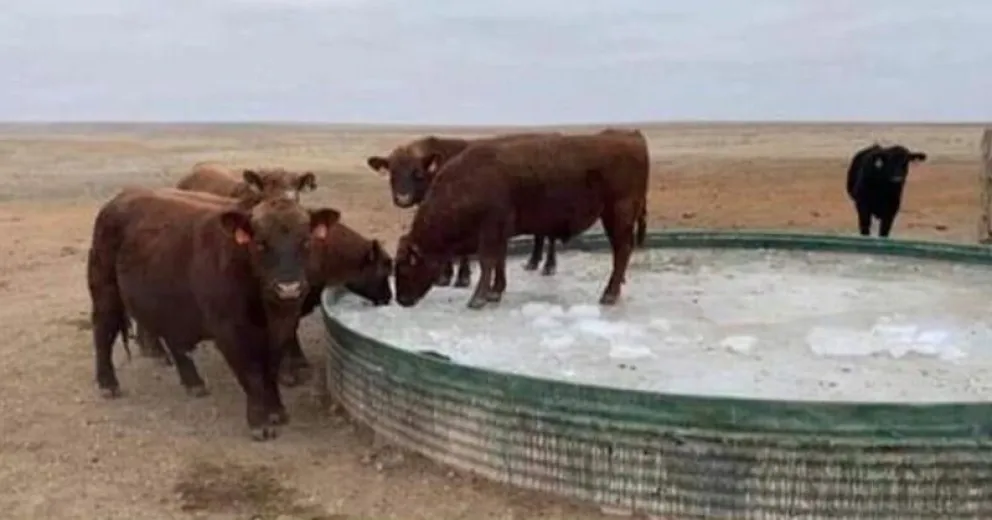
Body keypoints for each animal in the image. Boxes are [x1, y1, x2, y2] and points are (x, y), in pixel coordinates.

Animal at [87, 186, 339, 440]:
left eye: (305, 241)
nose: (289, 288)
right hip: (105, 292)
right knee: (103, 332)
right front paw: (260, 422)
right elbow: (252, 375)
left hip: (170, 303)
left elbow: (270, 370)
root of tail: (122, 197)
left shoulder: (283, 328)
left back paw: (193, 382)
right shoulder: (230, 333)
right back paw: (108, 383)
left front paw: (277, 410)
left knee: (174, 339)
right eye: (260, 243)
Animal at [366, 133, 564, 284]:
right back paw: (533, 262)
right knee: (540, 234)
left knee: (551, 236)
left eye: (417, 173)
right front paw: (445, 277)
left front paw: (462, 277)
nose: (402, 198)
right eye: (392, 173)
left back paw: (549, 266)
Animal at [392, 130, 650, 310]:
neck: (468, 182)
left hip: (618, 215)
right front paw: (496, 291)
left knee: (622, 250)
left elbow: (487, 261)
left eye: (404, 266)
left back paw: (609, 294)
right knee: (622, 251)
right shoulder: (501, 233)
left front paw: (478, 298)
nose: (402, 300)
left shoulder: (490, 230)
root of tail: (631, 136)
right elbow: (499, 260)